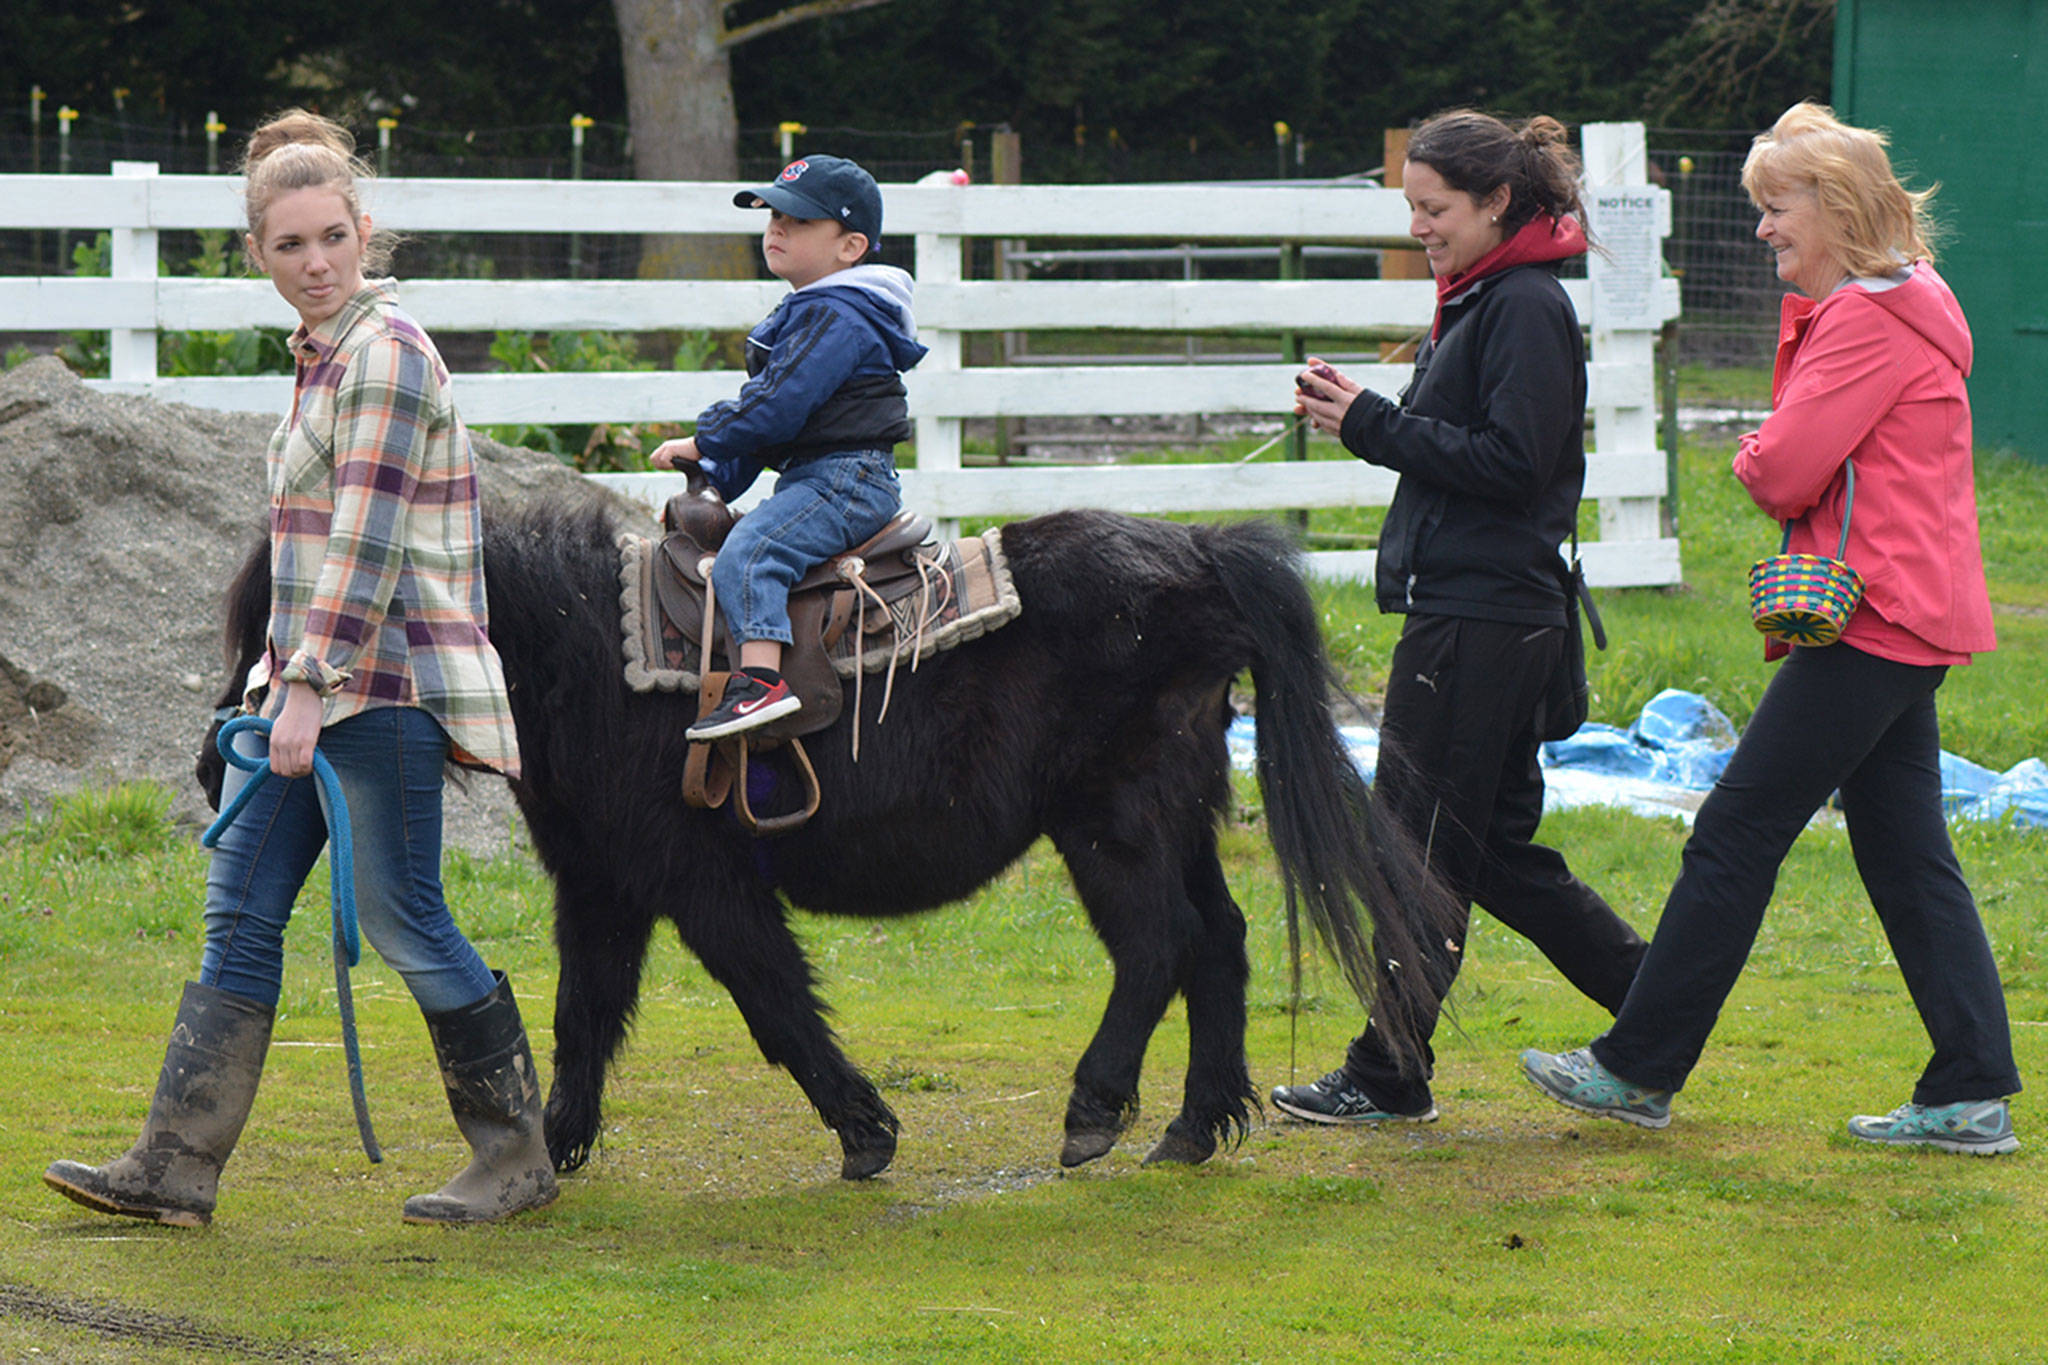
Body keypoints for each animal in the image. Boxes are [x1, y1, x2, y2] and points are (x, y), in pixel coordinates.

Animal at [201, 493, 1457, 1180]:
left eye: (294, 630)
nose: (222, 763)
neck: (583, 656)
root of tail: (1195, 554)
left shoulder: (699, 884)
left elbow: (773, 1003)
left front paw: (864, 1131)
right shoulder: (602, 889)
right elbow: (581, 1016)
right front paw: (548, 1149)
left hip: (1114, 825)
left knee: (1159, 947)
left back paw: (1096, 1113)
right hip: (1172, 813)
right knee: (1220, 943)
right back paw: (1195, 1126)